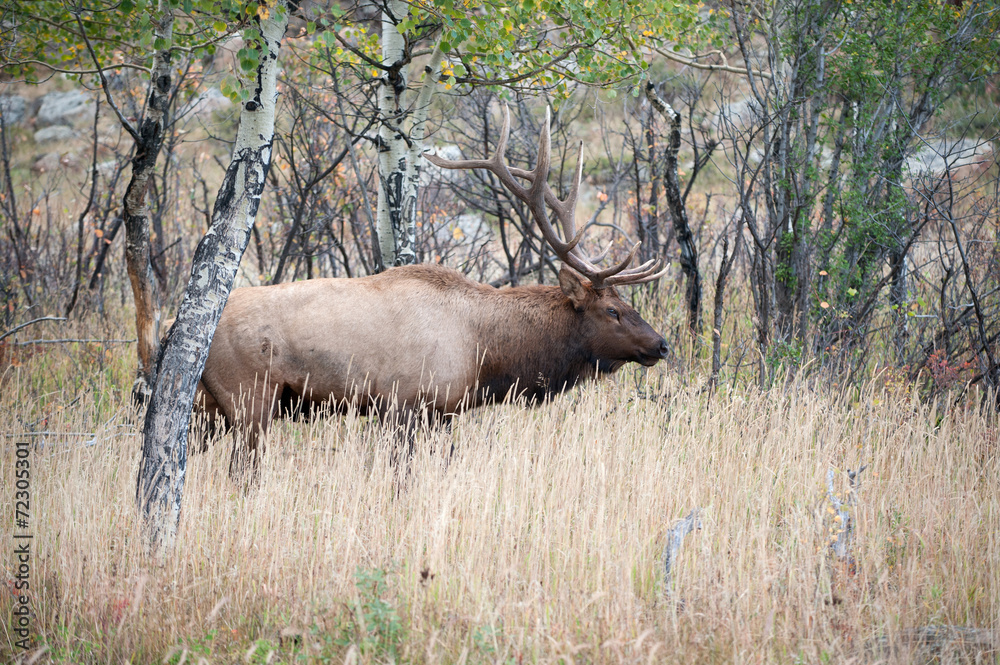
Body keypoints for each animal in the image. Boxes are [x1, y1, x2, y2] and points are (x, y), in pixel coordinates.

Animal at [195, 106, 668, 472]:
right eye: (611, 310)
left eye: (627, 303)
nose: (661, 344)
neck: (484, 355)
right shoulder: (404, 405)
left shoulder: (442, 413)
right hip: (250, 400)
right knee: (243, 471)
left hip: (210, 410)